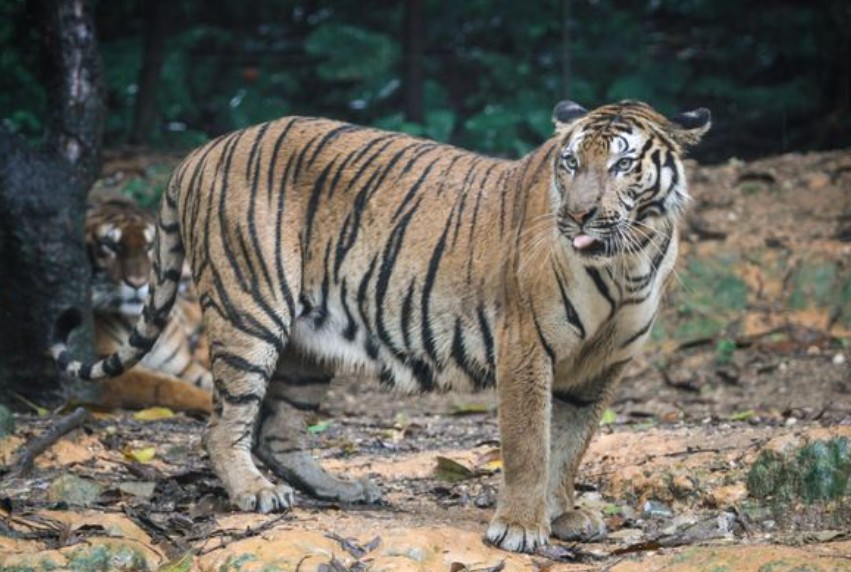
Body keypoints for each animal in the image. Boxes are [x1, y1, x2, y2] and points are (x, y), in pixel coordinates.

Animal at [84, 197, 213, 411]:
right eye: (109, 244)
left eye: (151, 245)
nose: (138, 282)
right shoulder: (106, 366)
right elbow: (163, 387)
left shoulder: (182, 366)